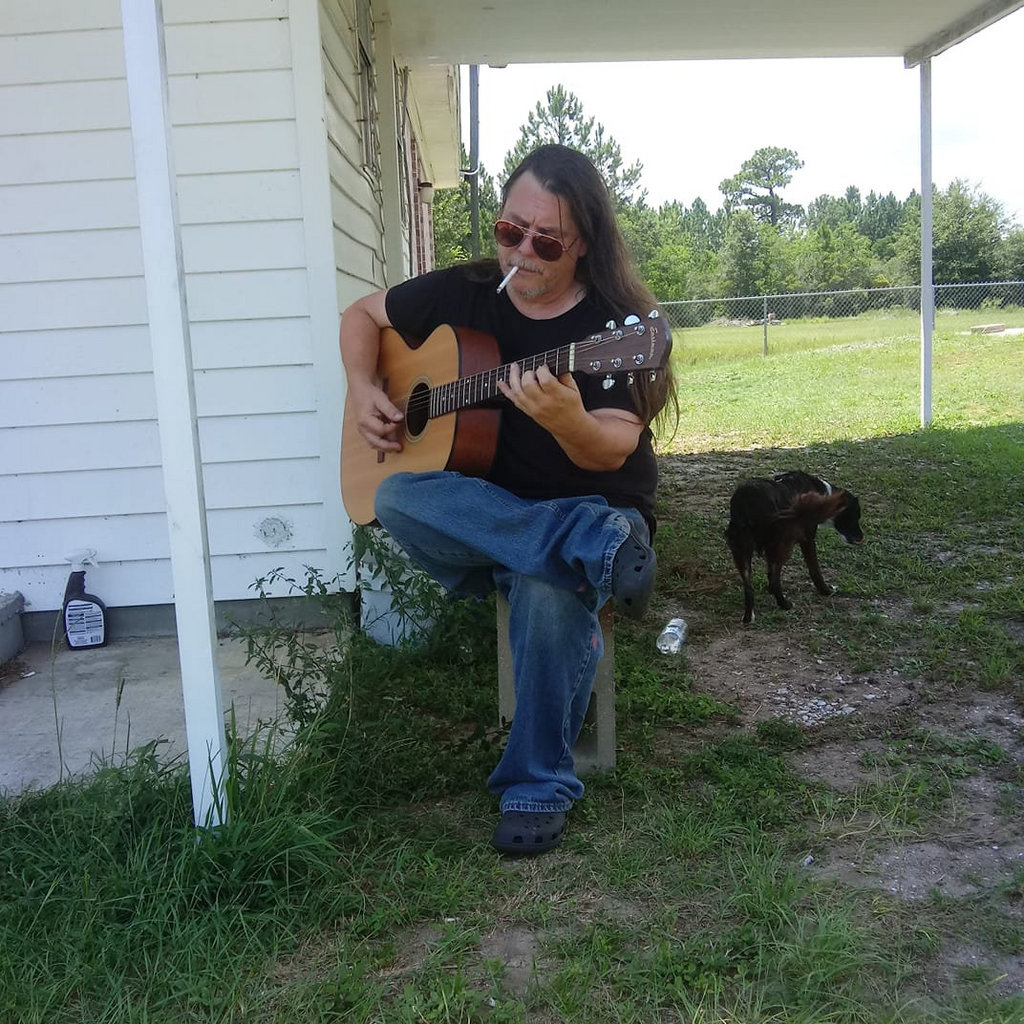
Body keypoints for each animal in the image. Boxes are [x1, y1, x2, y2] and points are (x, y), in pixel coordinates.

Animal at [725, 471, 864, 624]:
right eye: (855, 516)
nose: (861, 538)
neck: (823, 494)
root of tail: (748, 502)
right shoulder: (807, 539)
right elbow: (814, 570)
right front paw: (826, 591)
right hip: (781, 546)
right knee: (775, 579)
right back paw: (784, 605)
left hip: (742, 550)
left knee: (749, 587)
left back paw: (749, 617)